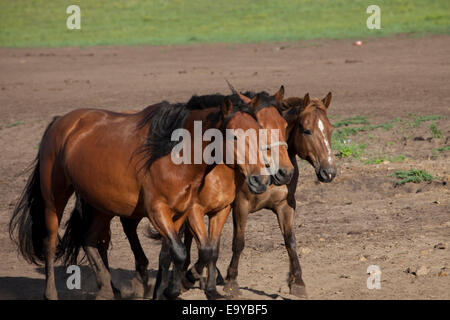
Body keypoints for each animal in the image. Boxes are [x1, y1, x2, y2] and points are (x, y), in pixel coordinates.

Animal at [9, 95, 270, 300]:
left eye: (260, 131)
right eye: (234, 136)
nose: (261, 179)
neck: (172, 153)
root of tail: (60, 122)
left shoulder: (179, 212)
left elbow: (170, 253)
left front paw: (166, 291)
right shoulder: (158, 210)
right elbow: (180, 252)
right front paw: (172, 291)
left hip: (101, 204)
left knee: (90, 238)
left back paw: (109, 289)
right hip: (55, 199)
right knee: (51, 242)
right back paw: (51, 293)